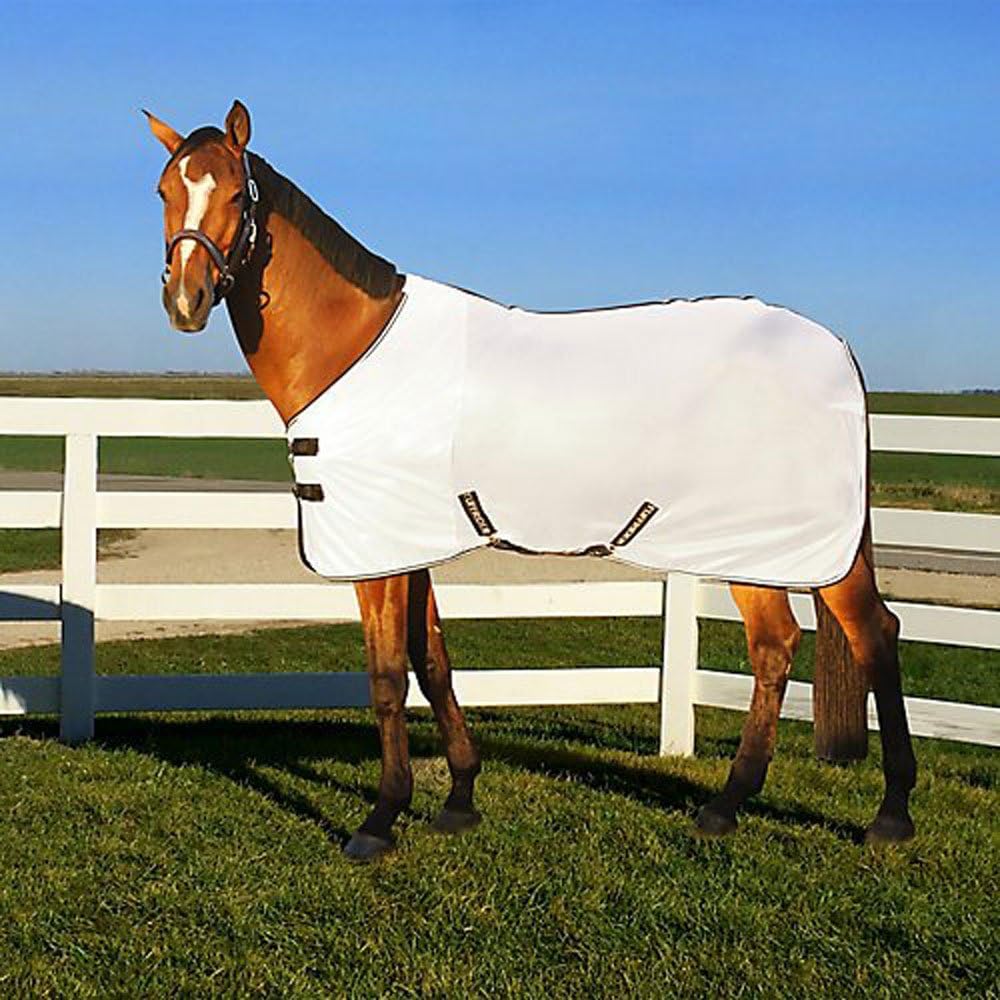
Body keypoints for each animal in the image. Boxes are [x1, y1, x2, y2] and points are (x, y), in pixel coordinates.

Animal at [146, 101, 916, 861]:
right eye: (162, 190)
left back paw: (890, 815)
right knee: (778, 646)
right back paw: (726, 806)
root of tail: (841, 353)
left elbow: (388, 676)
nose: (186, 300)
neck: (355, 344)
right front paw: (458, 798)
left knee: (872, 635)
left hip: (804, 547)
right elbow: (433, 662)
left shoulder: (377, 553)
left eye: (236, 194)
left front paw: (379, 820)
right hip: (752, 544)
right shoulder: (411, 543)